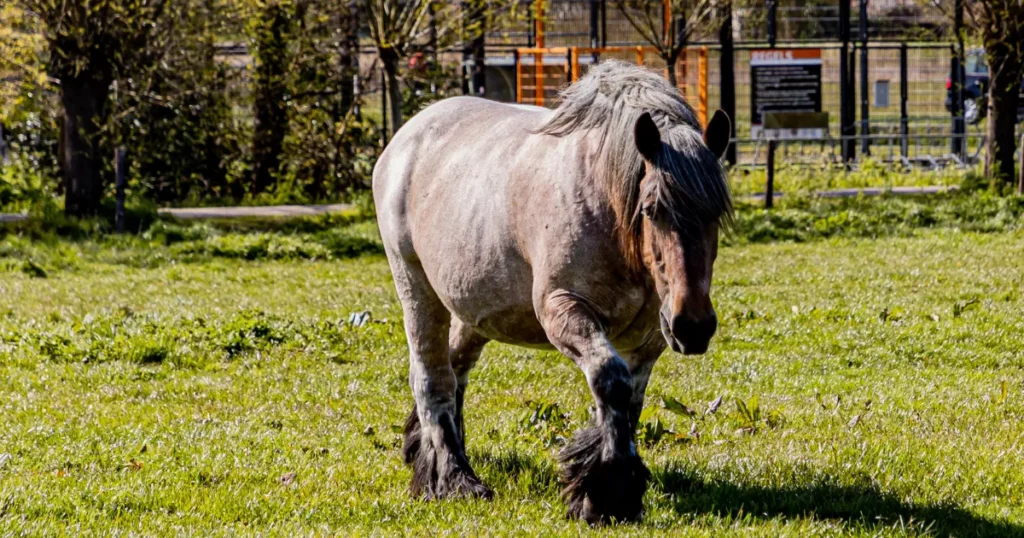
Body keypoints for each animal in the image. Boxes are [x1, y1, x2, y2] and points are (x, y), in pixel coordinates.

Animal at [372, 60, 733, 522]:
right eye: (652, 209)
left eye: (716, 212)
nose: (693, 327)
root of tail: (407, 136)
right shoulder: (563, 311)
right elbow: (609, 380)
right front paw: (610, 492)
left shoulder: (648, 340)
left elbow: (627, 401)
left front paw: (598, 480)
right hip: (417, 289)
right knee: (432, 379)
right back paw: (456, 480)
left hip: (476, 312)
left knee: (455, 372)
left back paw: (426, 455)